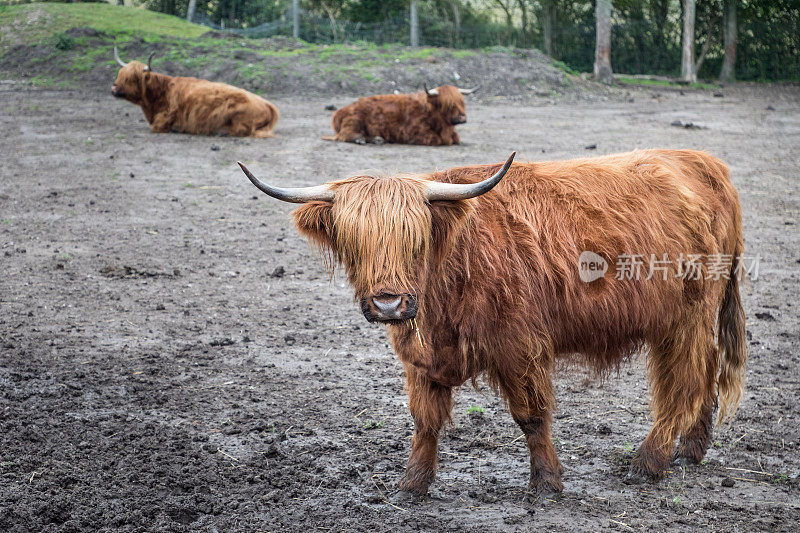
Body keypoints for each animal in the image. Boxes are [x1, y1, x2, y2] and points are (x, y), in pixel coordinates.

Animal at [109, 47, 278, 137]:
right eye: (120, 74)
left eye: (132, 78)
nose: (113, 88)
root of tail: (268, 105)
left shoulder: (164, 119)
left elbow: (157, 126)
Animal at [236, 148, 744, 496]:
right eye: (352, 240)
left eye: (416, 239)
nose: (388, 304)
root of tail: (705, 162)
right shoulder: (420, 358)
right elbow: (425, 421)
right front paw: (412, 484)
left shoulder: (519, 345)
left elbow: (531, 416)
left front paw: (547, 484)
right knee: (706, 375)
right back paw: (691, 451)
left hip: (689, 316)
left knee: (686, 382)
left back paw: (650, 460)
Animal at [322, 84, 476, 145]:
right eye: (446, 104)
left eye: (461, 101)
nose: (462, 117)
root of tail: (339, 111)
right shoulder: (416, 132)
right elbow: (436, 139)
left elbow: (456, 139)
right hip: (354, 121)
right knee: (344, 135)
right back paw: (360, 139)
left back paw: (378, 139)